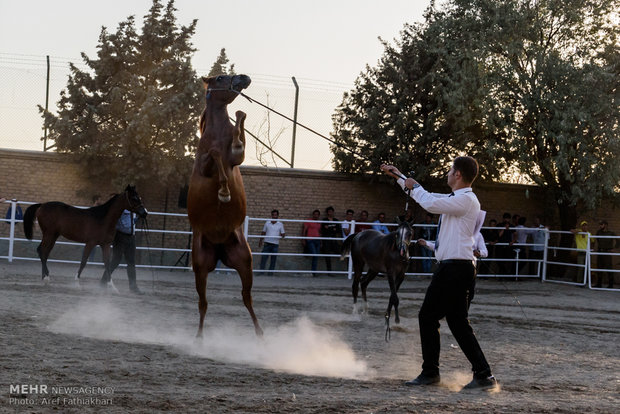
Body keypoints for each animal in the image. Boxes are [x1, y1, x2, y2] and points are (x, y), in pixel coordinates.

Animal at [184, 74, 262, 338]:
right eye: (220, 77)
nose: (245, 78)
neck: (218, 134)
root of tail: (218, 248)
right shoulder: (205, 164)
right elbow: (216, 156)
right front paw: (224, 192)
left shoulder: (237, 159)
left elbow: (238, 134)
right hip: (200, 266)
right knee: (203, 303)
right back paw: (198, 337)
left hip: (245, 262)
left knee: (247, 298)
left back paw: (261, 334)